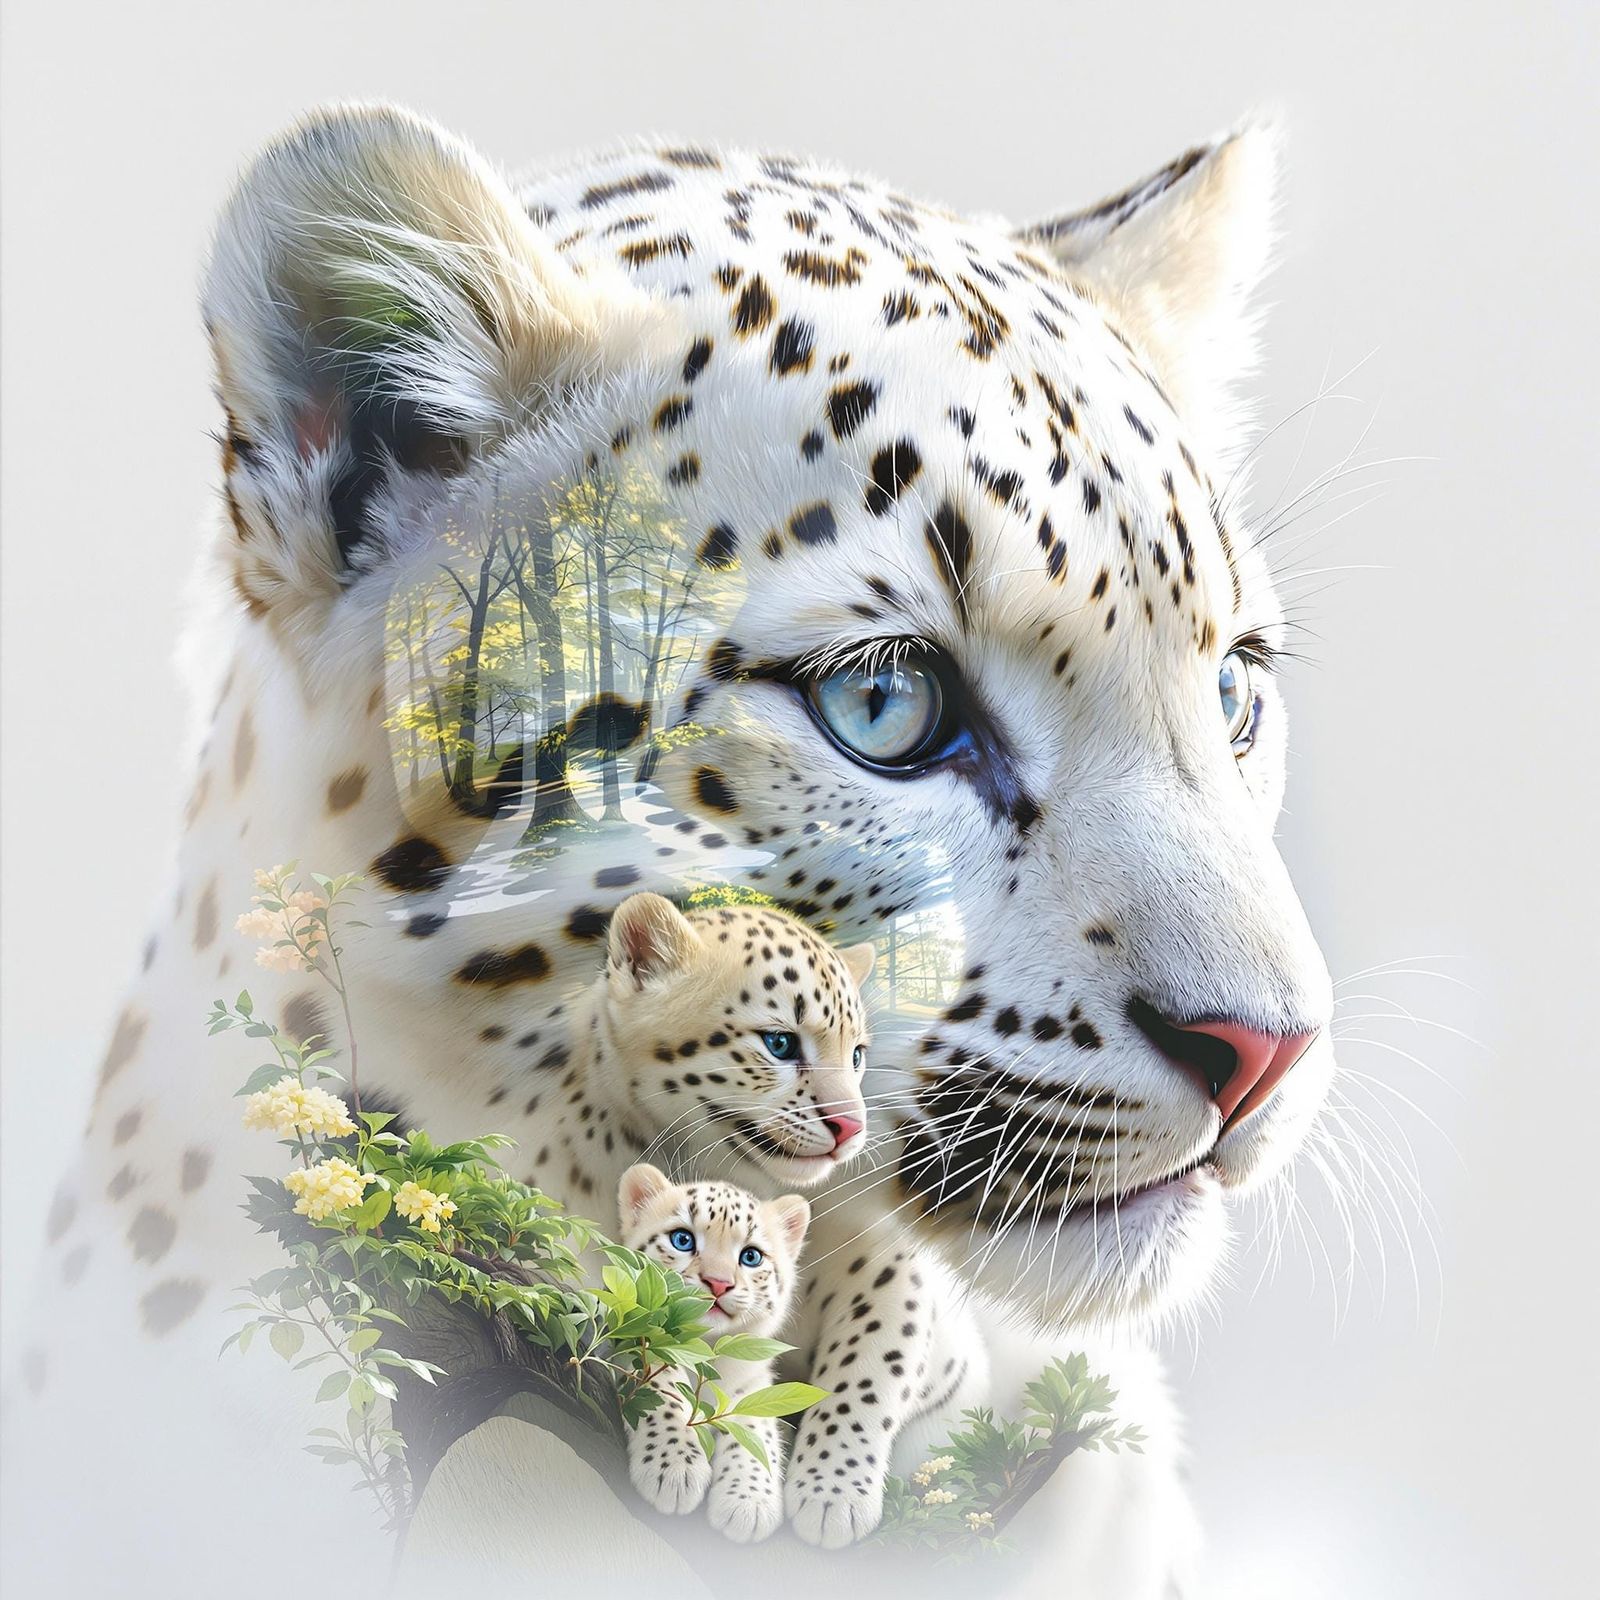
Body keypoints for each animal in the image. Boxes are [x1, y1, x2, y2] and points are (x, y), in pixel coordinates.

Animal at [618, 1162, 811, 1544]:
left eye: (751, 1256)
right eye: (682, 1239)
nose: (719, 1282)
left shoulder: (754, 1382)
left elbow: (755, 1431)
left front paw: (749, 1503)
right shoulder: (636, 1343)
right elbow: (663, 1390)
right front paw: (675, 1468)